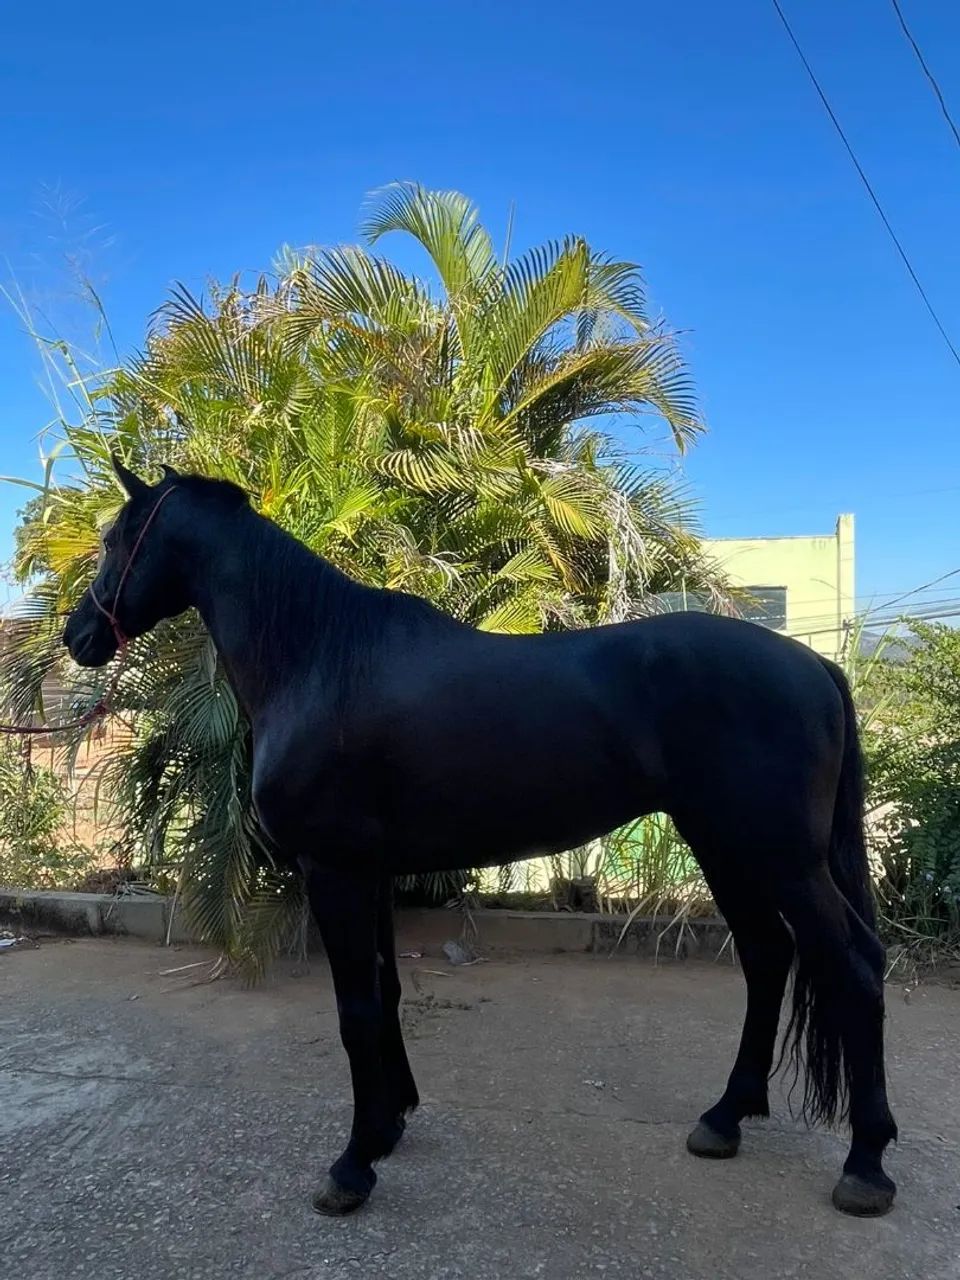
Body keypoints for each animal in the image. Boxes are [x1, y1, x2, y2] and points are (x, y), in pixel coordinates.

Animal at [63, 458, 898, 1219]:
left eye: (115, 538)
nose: (78, 635)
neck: (320, 657)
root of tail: (815, 666)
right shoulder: (372, 873)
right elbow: (388, 993)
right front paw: (391, 1124)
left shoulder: (334, 871)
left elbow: (355, 1010)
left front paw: (352, 1166)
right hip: (728, 848)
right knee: (768, 957)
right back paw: (725, 1119)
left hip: (780, 858)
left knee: (853, 966)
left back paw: (866, 1165)